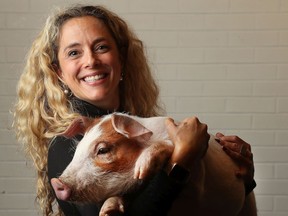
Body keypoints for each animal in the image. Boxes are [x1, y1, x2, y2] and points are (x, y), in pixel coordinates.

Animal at [51, 113, 252, 216]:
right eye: (77, 149)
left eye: (102, 150)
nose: (56, 182)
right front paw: (107, 211)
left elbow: (167, 146)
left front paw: (142, 168)